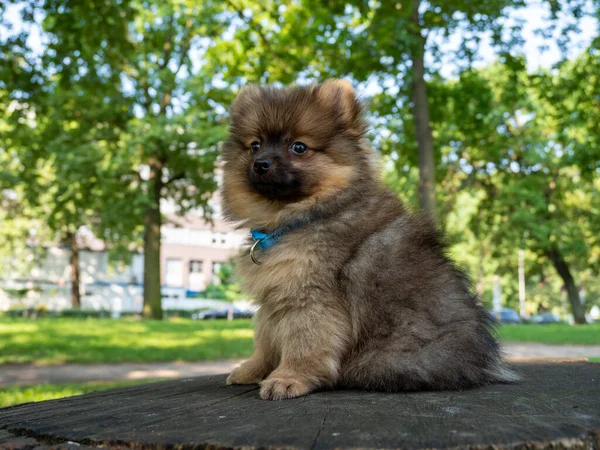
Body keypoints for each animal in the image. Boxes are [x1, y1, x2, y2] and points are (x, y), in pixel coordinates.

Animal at [220, 79, 516, 400]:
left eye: (298, 147)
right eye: (255, 145)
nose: (261, 163)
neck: (294, 218)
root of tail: (482, 362)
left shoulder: (311, 297)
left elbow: (304, 343)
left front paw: (289, 378)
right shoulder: (274, 298)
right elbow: (264, 341)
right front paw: (252, 370)